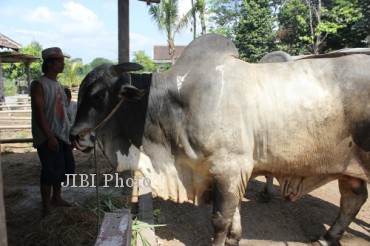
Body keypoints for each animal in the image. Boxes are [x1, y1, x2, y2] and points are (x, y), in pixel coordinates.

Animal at [71, 34, 368, 246]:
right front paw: (235, 240)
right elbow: (233, 216)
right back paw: (327, 238)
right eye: (81, 91)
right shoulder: (226, 173)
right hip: (350, 167)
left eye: (98, 95)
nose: (75, 136)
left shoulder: (229, 168)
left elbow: (220, 219)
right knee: (353, 199)